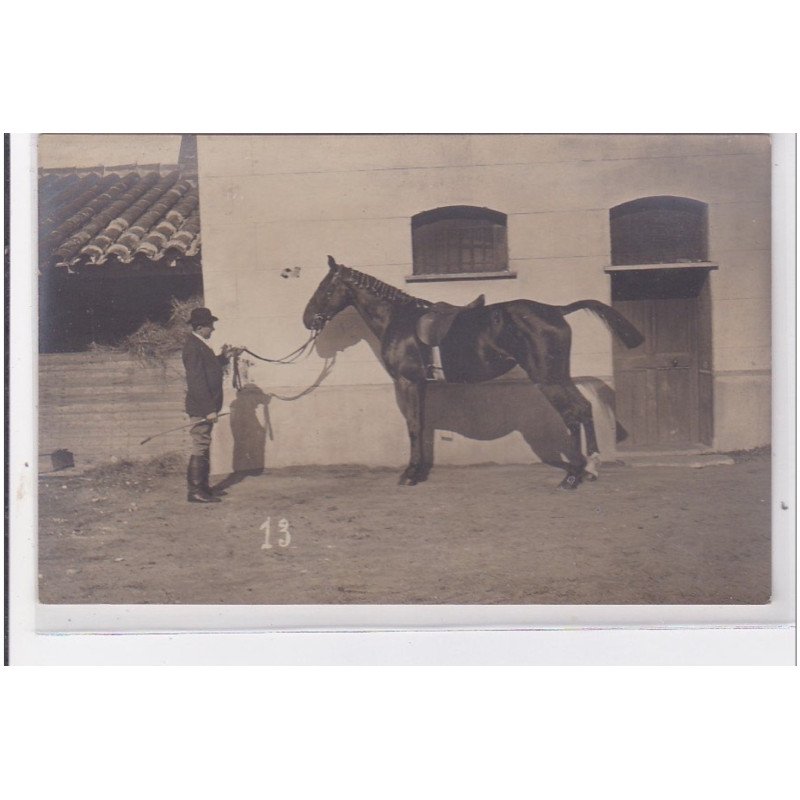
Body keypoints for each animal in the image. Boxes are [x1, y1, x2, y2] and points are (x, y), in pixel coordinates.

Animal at [302, 256, 644, 488]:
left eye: (325, 287)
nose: (307, 319)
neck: (398, 320)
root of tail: (555, 310)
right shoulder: (421, 385)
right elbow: (421, 425)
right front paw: (419, 471)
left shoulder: (408, 382)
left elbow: (412, 426)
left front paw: (409, 474)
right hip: (559, 375)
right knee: (583, 408)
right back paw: (590, 468)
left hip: (547, 378)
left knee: (572, 413)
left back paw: (572, 477)